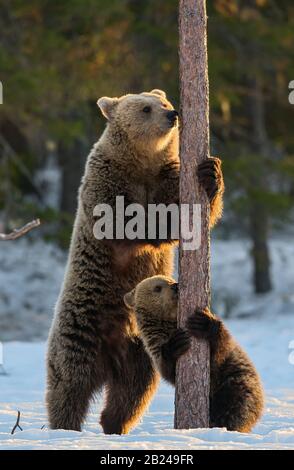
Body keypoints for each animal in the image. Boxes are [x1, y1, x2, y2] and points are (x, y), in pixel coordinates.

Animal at [46, 88, 225, 434]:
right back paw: (64, 426)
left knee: (132, 394)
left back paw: (114, 424)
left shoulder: (166, 175)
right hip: (79, 331)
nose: (172, 115)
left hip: (138, 353)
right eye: (145, 108)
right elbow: (123, 222)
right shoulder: (106, 180)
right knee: (69, 386)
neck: (141, 163)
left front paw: (210, 174)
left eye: (165, 102)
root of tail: (109, 356)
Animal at [124, 276, 264, 434]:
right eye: (157, 287)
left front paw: (203, 323)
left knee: (232, 406)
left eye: (170, 279)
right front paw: (176, 343)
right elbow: (169, 369)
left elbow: (221, 349)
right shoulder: (156, 348)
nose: (175, 286)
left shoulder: (226, 357)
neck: (168, 323)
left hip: (235, 381)